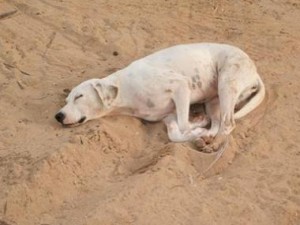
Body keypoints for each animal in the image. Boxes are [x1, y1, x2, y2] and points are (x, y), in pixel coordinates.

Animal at [54, 43, 264, 152]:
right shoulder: (167, 116)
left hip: (227, 83)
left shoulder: (180, 86)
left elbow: (183, 125)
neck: (125, 91)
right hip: (214, 100)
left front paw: (196, 125)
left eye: (79, 96)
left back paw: (216, 143)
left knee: (228, 123)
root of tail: (255, 72)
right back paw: (207, 137)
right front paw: (198, 129)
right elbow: (175, 133)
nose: (58, 116)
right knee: (218, 123)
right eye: (66, 100)